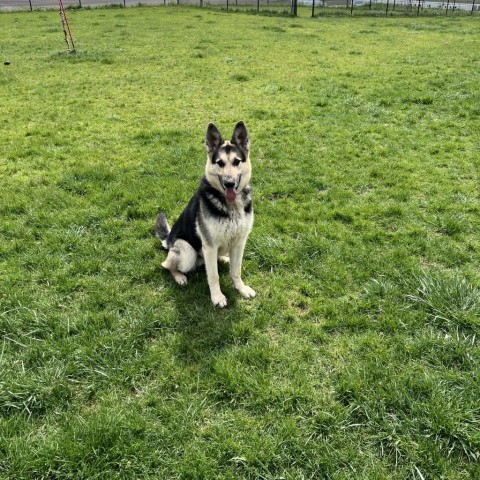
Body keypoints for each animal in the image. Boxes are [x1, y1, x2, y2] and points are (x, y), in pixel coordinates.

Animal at [157, 120, 255, 308]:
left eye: (236, 162)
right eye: (220, 163)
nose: (229, 183)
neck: (232, 206)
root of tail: (169, 240)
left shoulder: (240, 243)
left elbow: (236, 271)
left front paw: (241, 289)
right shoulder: (209, 246)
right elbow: (214, 276)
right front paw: (217, 297)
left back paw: (223, 258)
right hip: (188, 252)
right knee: (167, 265)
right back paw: (179, 277)